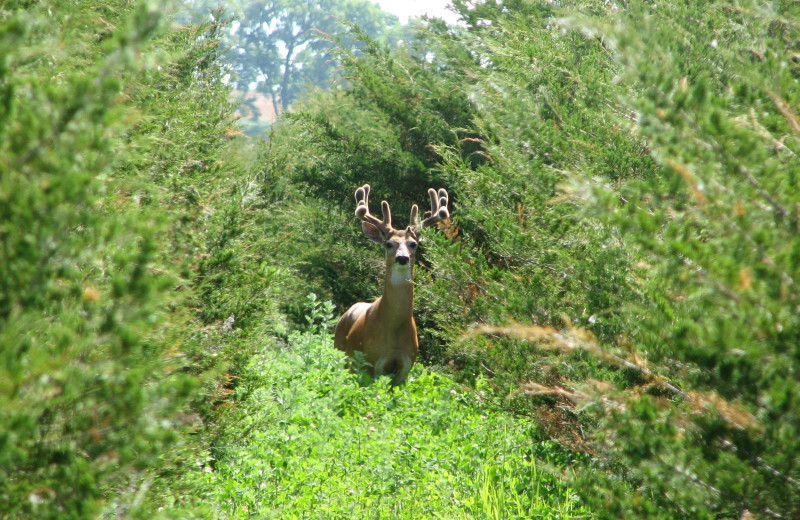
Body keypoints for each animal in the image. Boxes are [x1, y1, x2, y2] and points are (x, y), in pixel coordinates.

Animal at [332, 184, 450, 386]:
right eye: (388, 244)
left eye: (413, 244)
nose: (402, 258)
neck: (393, 328)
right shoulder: (370, 363)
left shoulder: (405, 368)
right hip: (343, 353)